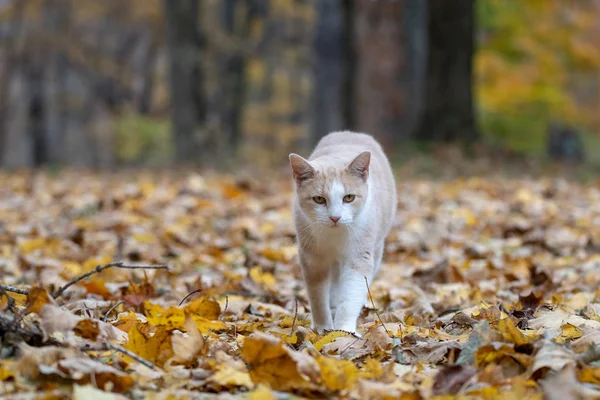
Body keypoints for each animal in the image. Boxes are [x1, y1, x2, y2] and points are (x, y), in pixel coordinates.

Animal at [288, 132, 396, 334]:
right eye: (319, 199)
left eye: (349, 198)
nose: (335, 217)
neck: (334, 237)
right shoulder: (312, 258)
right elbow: (317, 297)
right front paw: (322, 328)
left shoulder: (358, 257)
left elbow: (350, 296)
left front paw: (343, 331)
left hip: (377, 247)